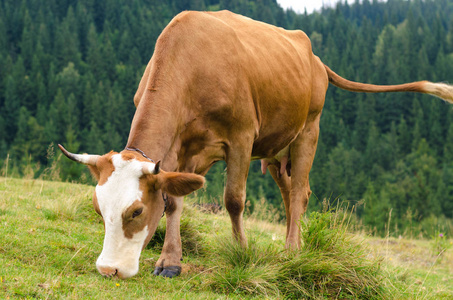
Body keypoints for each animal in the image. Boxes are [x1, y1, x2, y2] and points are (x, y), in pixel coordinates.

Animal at [58, 10, 452, 280]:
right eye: (98, 209)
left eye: (136, 212)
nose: (109, 269)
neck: (191, 62)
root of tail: (316, 60)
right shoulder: (180, 149)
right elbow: (173, 202)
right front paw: (170, 261)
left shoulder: (242, 136)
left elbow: (234, 199)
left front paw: (242, 251)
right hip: (277, 150)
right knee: (292, 191)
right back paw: (297, 242)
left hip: (309, 129)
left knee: (300, 192)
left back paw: (292, 252)